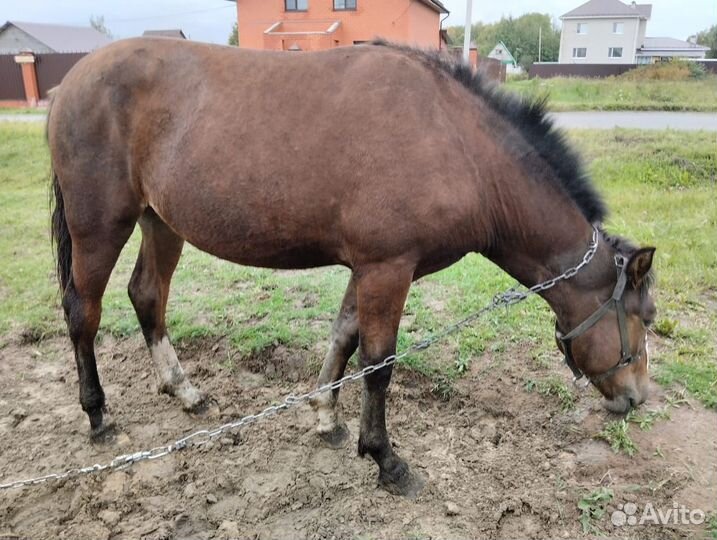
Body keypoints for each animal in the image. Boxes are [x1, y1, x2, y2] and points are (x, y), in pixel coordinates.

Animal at [47, 38, 656, 496]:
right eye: (644, 319)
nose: (635, 398)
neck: (457, 143)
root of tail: (70, 82)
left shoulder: (368, 268)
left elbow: (343, 337)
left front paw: (325, 416)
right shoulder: (389, 268)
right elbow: (378, 364)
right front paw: (386, 460)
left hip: (160, 222)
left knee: (147, 295)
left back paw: (184, 390)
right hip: (100, 225)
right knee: (84, 313)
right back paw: (98, 416)